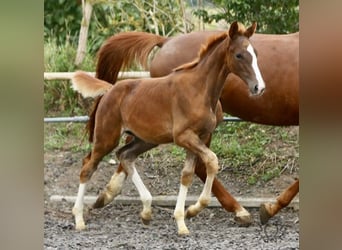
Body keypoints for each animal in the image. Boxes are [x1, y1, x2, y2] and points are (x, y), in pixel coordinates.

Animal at [71, 21, 264, 234]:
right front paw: (189, 213)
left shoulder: (200, 137)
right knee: (88, 166)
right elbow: (212, 161)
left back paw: (146, 211)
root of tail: (110, 89)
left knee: (125, 155)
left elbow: (187, 174)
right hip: (107, 137)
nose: (259, 87)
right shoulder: (184, 137)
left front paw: (186, 216)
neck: (199, 89)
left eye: (255, 52)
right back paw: (79, 218)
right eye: (239, 55)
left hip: (145, 140)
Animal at [95, 27, 298, 225]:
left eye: (256, 54)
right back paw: (236, 210)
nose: (259, 87)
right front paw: (271, 208)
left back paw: (110, 194)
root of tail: (166, 41)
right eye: (239, 55)